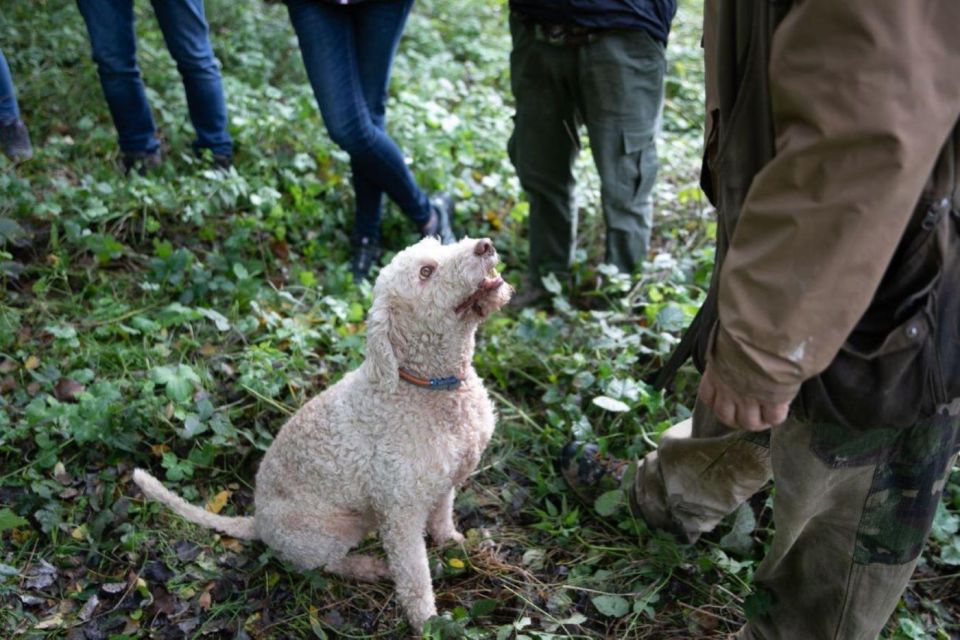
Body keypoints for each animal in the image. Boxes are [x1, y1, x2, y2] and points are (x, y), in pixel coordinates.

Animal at [134, 234, 512, 632]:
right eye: (426, 271)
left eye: (443, 243)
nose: (485, 244)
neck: (431, 386)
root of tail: (258, 522)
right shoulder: (400, 513)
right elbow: (414, 577)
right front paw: (427, 624)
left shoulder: (444, 480)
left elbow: (441, 516)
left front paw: (453, 542)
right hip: (333, 529)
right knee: (325, 564)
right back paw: (368, 567)